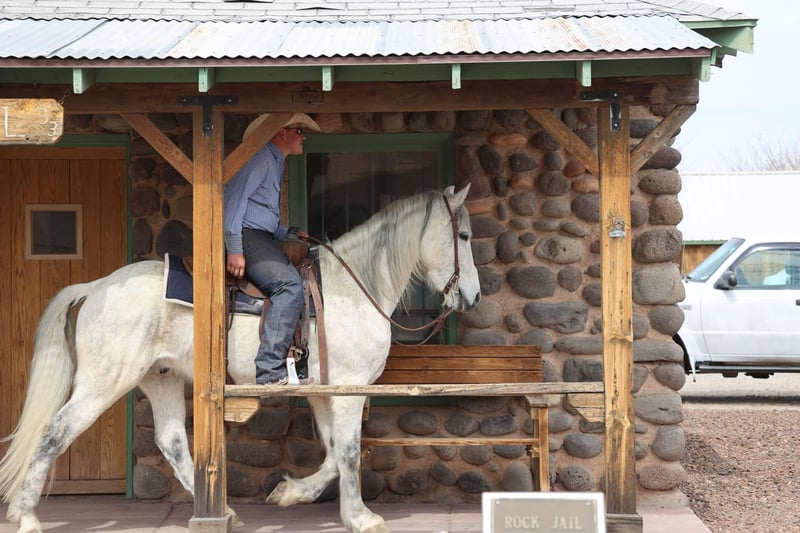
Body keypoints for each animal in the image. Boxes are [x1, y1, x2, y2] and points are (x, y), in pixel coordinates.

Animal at [0, 184, 481, 533]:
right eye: (463, 236)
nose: (474, 296)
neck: (352, 285)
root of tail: (97, 286)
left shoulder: (324, 391)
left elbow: (330, 454)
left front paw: (290, 494)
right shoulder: (349, 390)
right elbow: (346, 452)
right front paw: (361, 517)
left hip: (161, 377)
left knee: (171, 442)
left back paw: (225, 513)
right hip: (103, 383)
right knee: (54, 432)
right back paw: (26, 517)